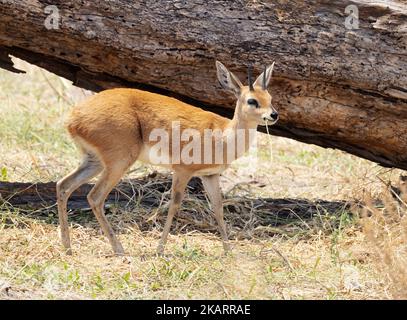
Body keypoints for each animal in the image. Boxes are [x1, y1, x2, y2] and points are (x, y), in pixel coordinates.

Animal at [57, 60, 278, 255]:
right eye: (252, 100)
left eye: (270, 97)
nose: (274, 115)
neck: (223, 135)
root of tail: (73, 119)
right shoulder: (182, 171)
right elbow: (174, 206)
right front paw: (160, 249)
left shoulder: (209, 175)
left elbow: (218, 208)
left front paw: (229, 251)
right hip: (118, 163)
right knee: (94, 197)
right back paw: (118, 249)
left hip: (94, 162)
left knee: (63, 186)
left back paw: (68, 247)